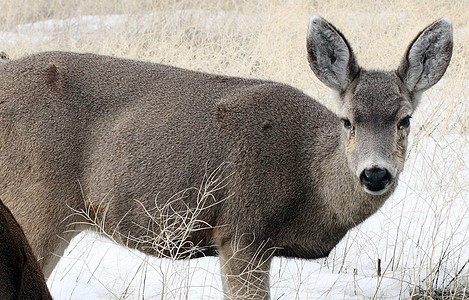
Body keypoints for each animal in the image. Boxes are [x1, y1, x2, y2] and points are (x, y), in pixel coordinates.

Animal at [0, 17, 454, 300]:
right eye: (347, 121)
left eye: (405, 119)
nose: (375, 174)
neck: (309, 181)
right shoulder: (242, 230)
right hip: (36, 200)